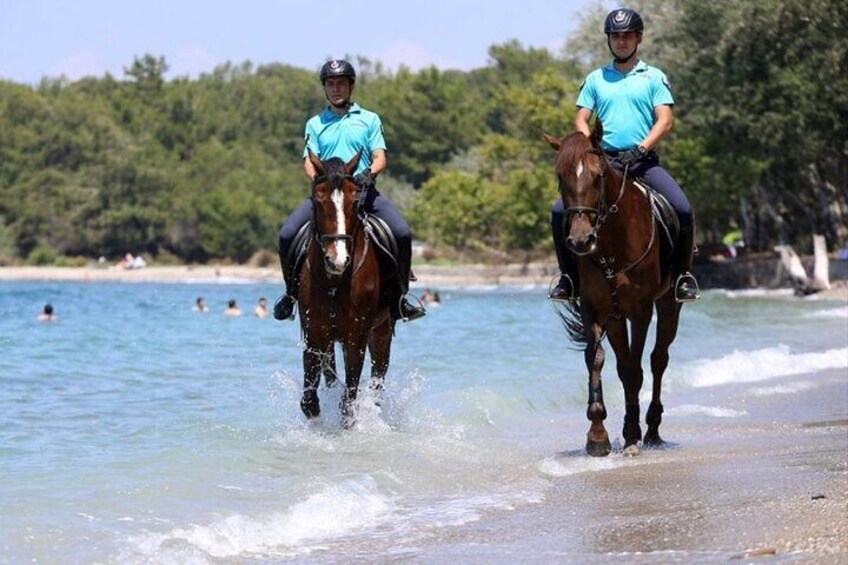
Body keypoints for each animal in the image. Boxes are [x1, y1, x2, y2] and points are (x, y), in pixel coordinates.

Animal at [296, 149, 392, 424]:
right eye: (319, 199)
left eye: (353, 200)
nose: (337, 260)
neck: (335, 282)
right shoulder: (314, 335)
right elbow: (310, 400)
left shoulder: (355, 338)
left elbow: (349, 401)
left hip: (381, 331)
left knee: (378, 377)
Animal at [548, 121, 684, 456]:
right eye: (561, 176)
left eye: (598, 176)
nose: (581, 240)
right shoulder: (594, 307)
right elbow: (596, 360)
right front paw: (597, 436)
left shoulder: (641, 310)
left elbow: (636, 369)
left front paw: (633, 436)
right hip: (616, 315)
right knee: (625, 364)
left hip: (668, 304)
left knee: (658, 359)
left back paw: (651, 430)